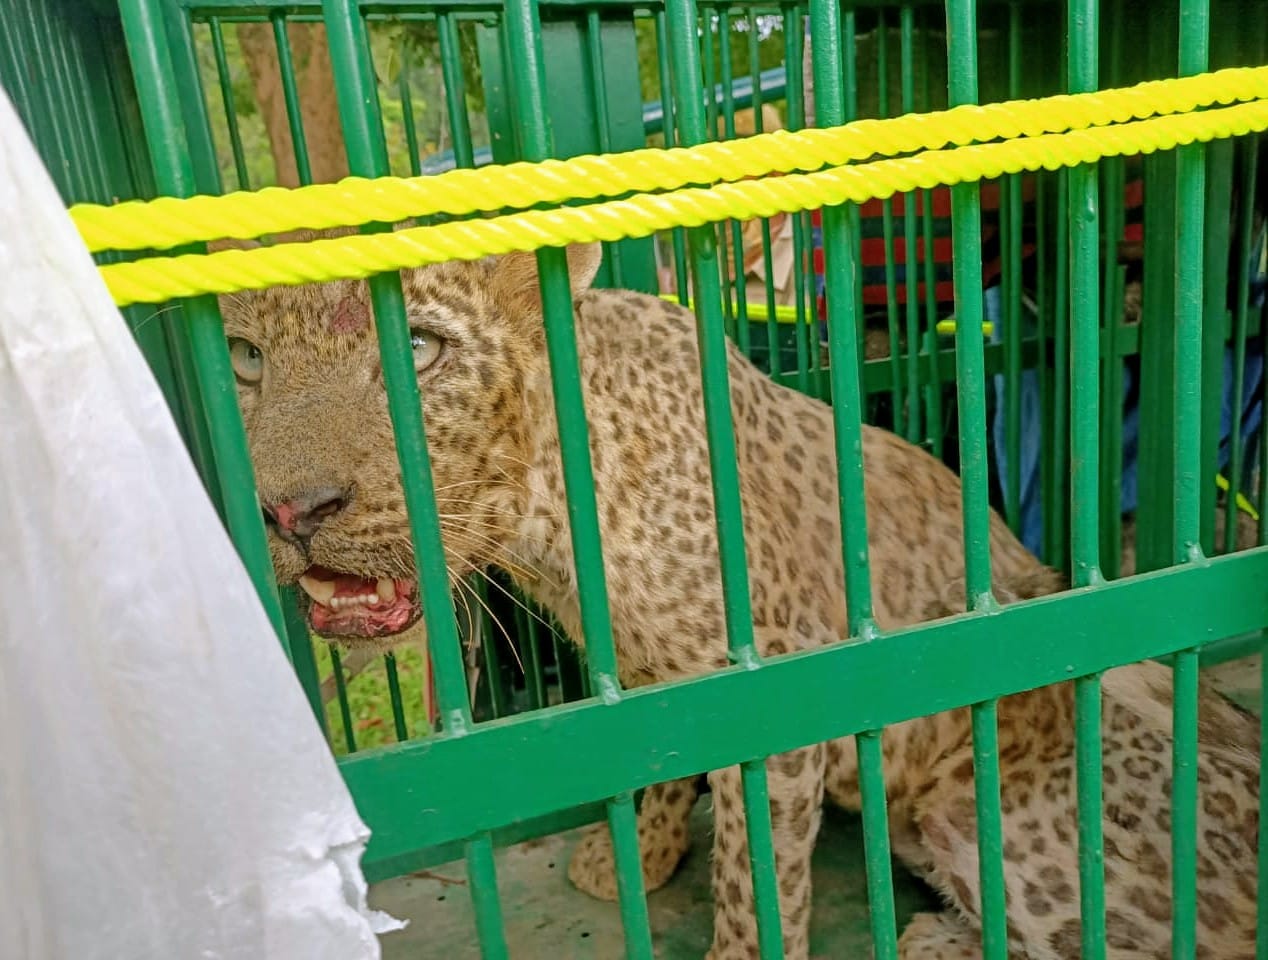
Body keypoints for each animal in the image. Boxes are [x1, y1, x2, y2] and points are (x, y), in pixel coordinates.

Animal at [223, 234, 1262, 958]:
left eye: (423, 350)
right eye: (244, 359)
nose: (292, 508)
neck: (552, 517)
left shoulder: (781, 698)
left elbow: (754, 879)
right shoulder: (654, 679)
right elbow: (657, 772)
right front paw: (630, 862)